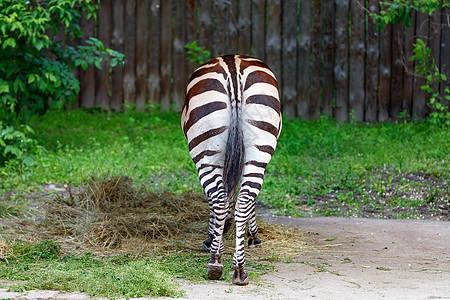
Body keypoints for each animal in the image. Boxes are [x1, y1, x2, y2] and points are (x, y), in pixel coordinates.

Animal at [180, 54, 282, 286]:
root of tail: (233, 66)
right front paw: (251, 235)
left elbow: (221, 197)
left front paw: (213, 236)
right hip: (257, 149)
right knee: (243, 200)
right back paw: (239, 269)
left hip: (206, 154)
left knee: (218, 198)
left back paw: (216, 261)